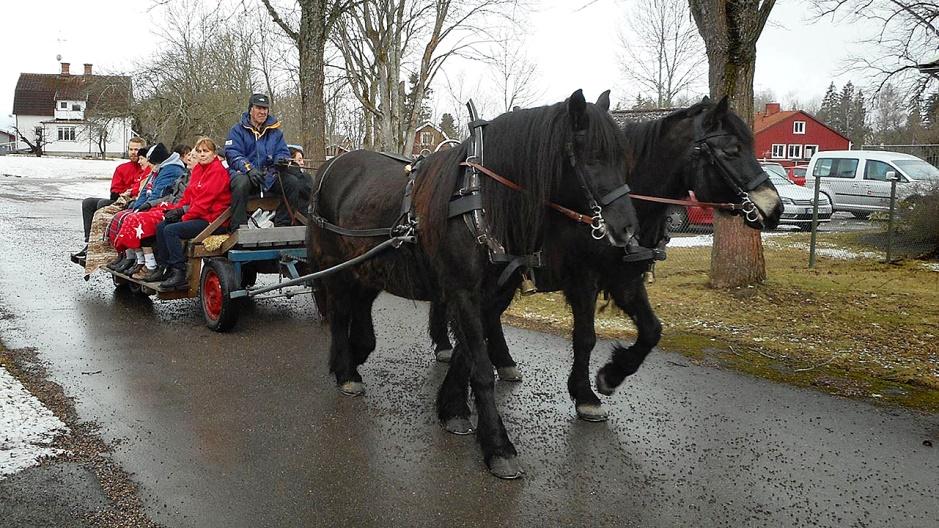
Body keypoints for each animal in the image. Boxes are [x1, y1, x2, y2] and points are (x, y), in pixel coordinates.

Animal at [308, 89, 640, 478]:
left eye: (624, 158)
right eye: (593, 157)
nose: (627, 229)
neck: (480, 201)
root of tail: (330, 165)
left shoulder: (491, 295)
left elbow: (467, 355)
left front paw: (453, 409)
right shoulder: (463, 292)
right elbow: (480, 369)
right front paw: (497, 445)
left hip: (369, 266)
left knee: (359, 307)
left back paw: (357, 354)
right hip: (336, 266)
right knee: (339, 312)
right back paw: (345, 370)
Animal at [430, 97, 784, 420]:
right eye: (732, 150)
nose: (775, 207)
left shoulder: (626, 279)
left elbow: (652, 330)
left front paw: (611, 376)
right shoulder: (583, 279)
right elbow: (585, 337)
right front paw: (586, 394)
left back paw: (500, 362)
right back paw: (451, 349)